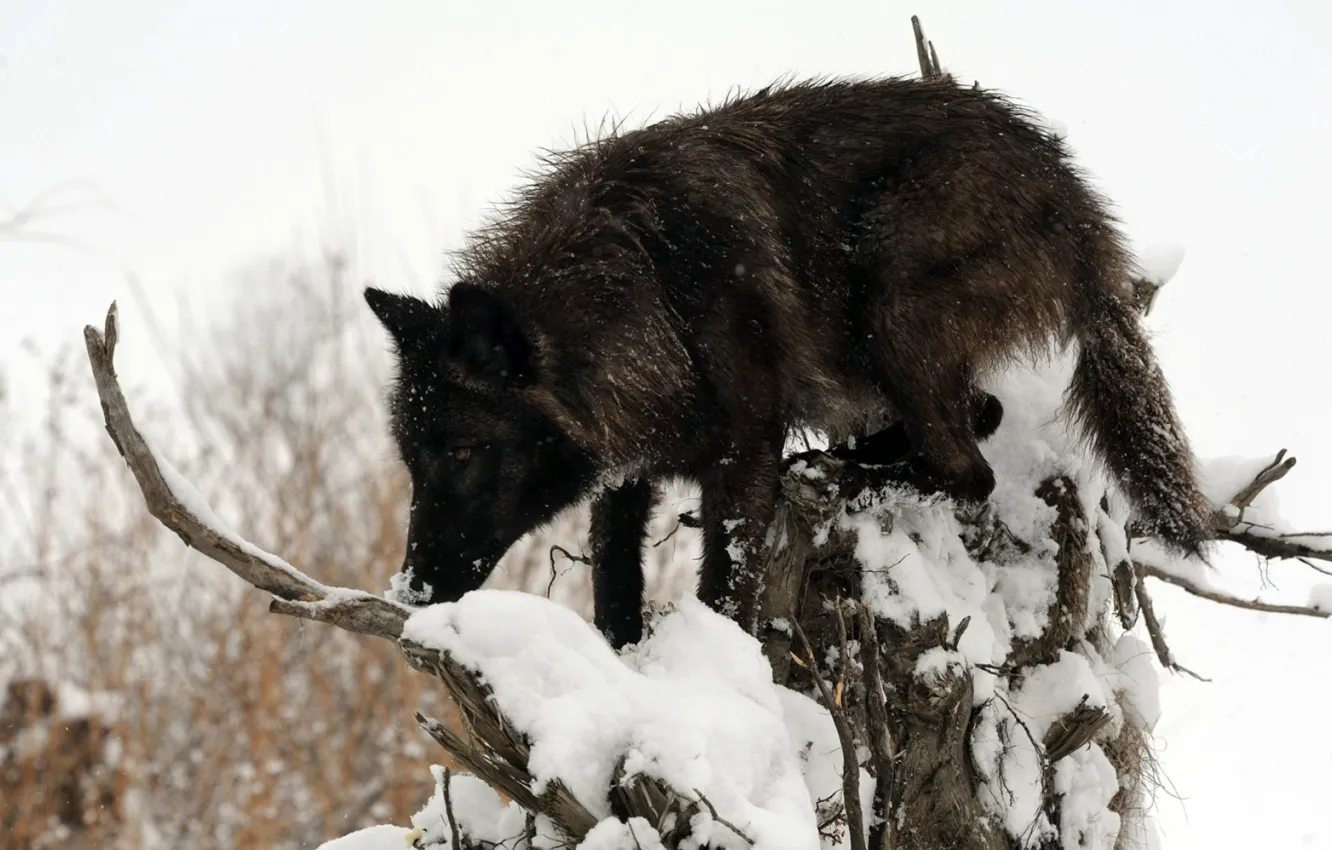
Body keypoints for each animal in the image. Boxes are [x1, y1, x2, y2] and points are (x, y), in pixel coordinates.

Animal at [366, 76, 1212, 649]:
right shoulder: (626, 471)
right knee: (980, 418)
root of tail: (1080, 205)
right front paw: (627, 663)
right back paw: (849, 461)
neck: (648, 290)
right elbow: (613, 582)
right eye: (413, 460)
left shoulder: (742, 454)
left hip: (888, 296)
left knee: (968, 469)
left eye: (463, 452)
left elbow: (725, 586)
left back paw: (851, 475)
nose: (409, 590)